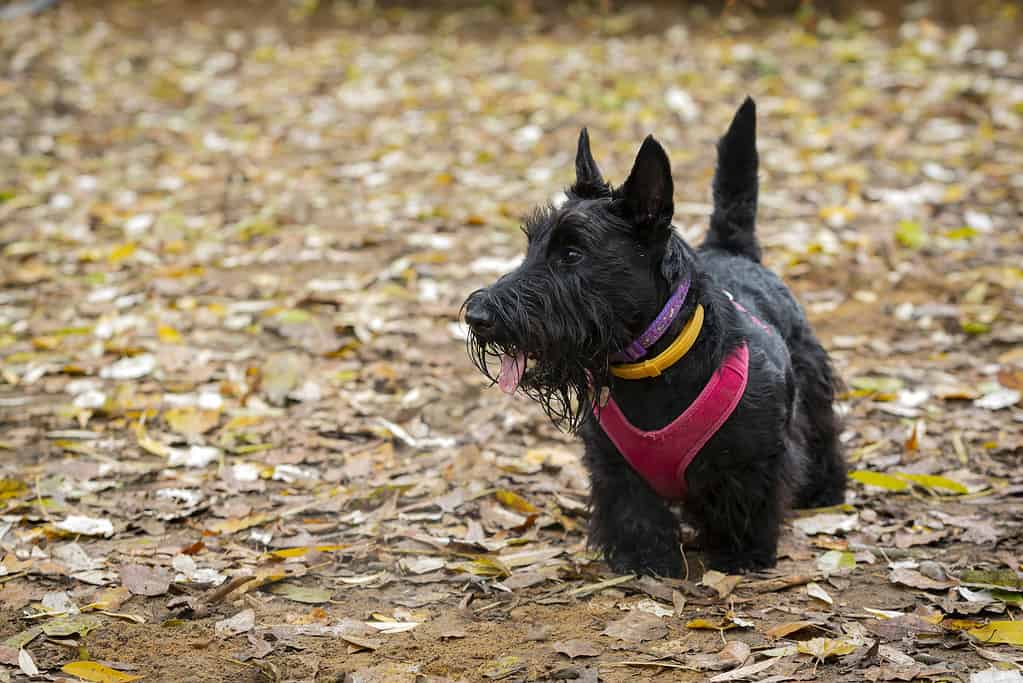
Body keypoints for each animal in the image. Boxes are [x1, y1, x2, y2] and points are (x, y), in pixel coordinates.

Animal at [464, 98, 847, 572]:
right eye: (531, 245)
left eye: (572, 254)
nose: (477, 315)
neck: (653, 366)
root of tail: (731, 250)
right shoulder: (614, 467)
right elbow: (635, 514)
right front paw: (644, 560)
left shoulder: (752, 460)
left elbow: (745, 503)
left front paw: (741, 554)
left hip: (811, 379)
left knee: (823, 432)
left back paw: (825, 489)